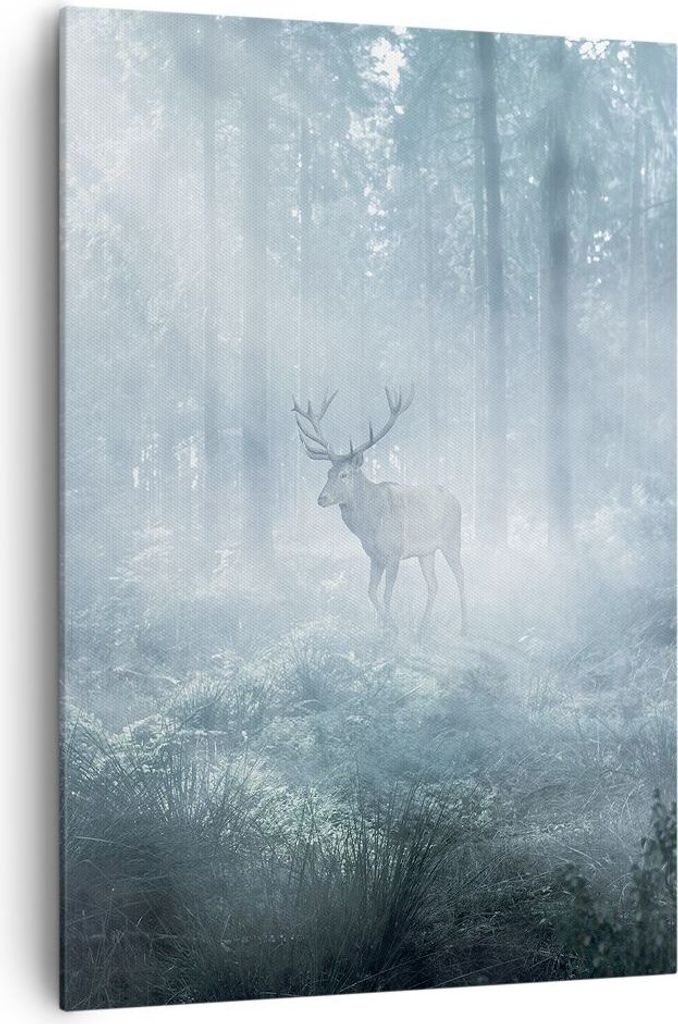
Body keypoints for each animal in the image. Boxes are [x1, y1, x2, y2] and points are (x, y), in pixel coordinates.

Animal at [292, 386, 467, 638]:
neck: (369, 526)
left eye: (344, 474)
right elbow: (371, 592)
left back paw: (464, 627)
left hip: (452, 540)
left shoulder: (394, 552)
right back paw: (422, 629)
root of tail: (457, 500)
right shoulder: (374, 556)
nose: (321, 498)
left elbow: (385, 594)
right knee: (434, 584)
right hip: (426, 552)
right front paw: (384, 627)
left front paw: (393, 628)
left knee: (461, 576)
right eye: (328, 473)